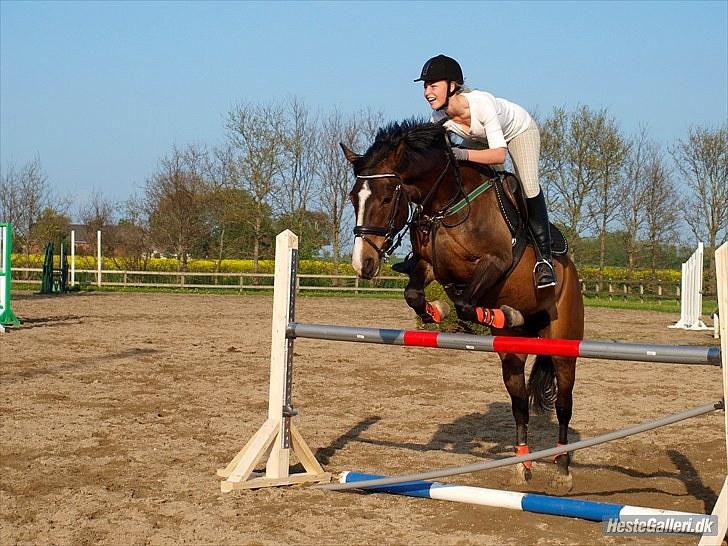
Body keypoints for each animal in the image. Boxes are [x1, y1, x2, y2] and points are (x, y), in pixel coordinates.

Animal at [342, 118, 584, 484]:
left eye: (385, 198)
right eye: (354, 198)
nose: (363, 265)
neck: (447, 203)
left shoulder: (495, 263)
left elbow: (466, 304)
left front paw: (501, 315)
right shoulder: (428, 266)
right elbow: (415, 294)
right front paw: (436, 310)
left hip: (564, 345)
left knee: (564, 404)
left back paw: (563, 467)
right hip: (512, 354)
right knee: (520, 404)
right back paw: (523, 465)